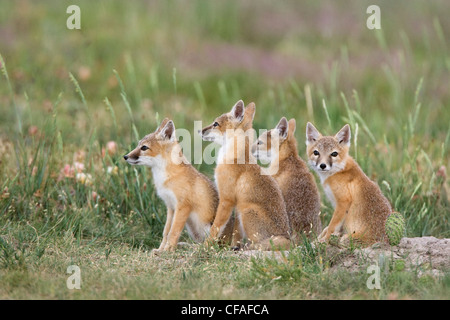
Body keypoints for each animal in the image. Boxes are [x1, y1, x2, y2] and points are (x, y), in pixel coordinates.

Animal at [125, 117, 234, 252]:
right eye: (138, 145)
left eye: (144, 148)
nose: (125, 156)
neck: (166, 177)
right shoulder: (170, 207)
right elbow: (166, 232)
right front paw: (161, 250)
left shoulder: (182, 207)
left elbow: (173, 232)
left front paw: (167, 251)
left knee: (210, 245)